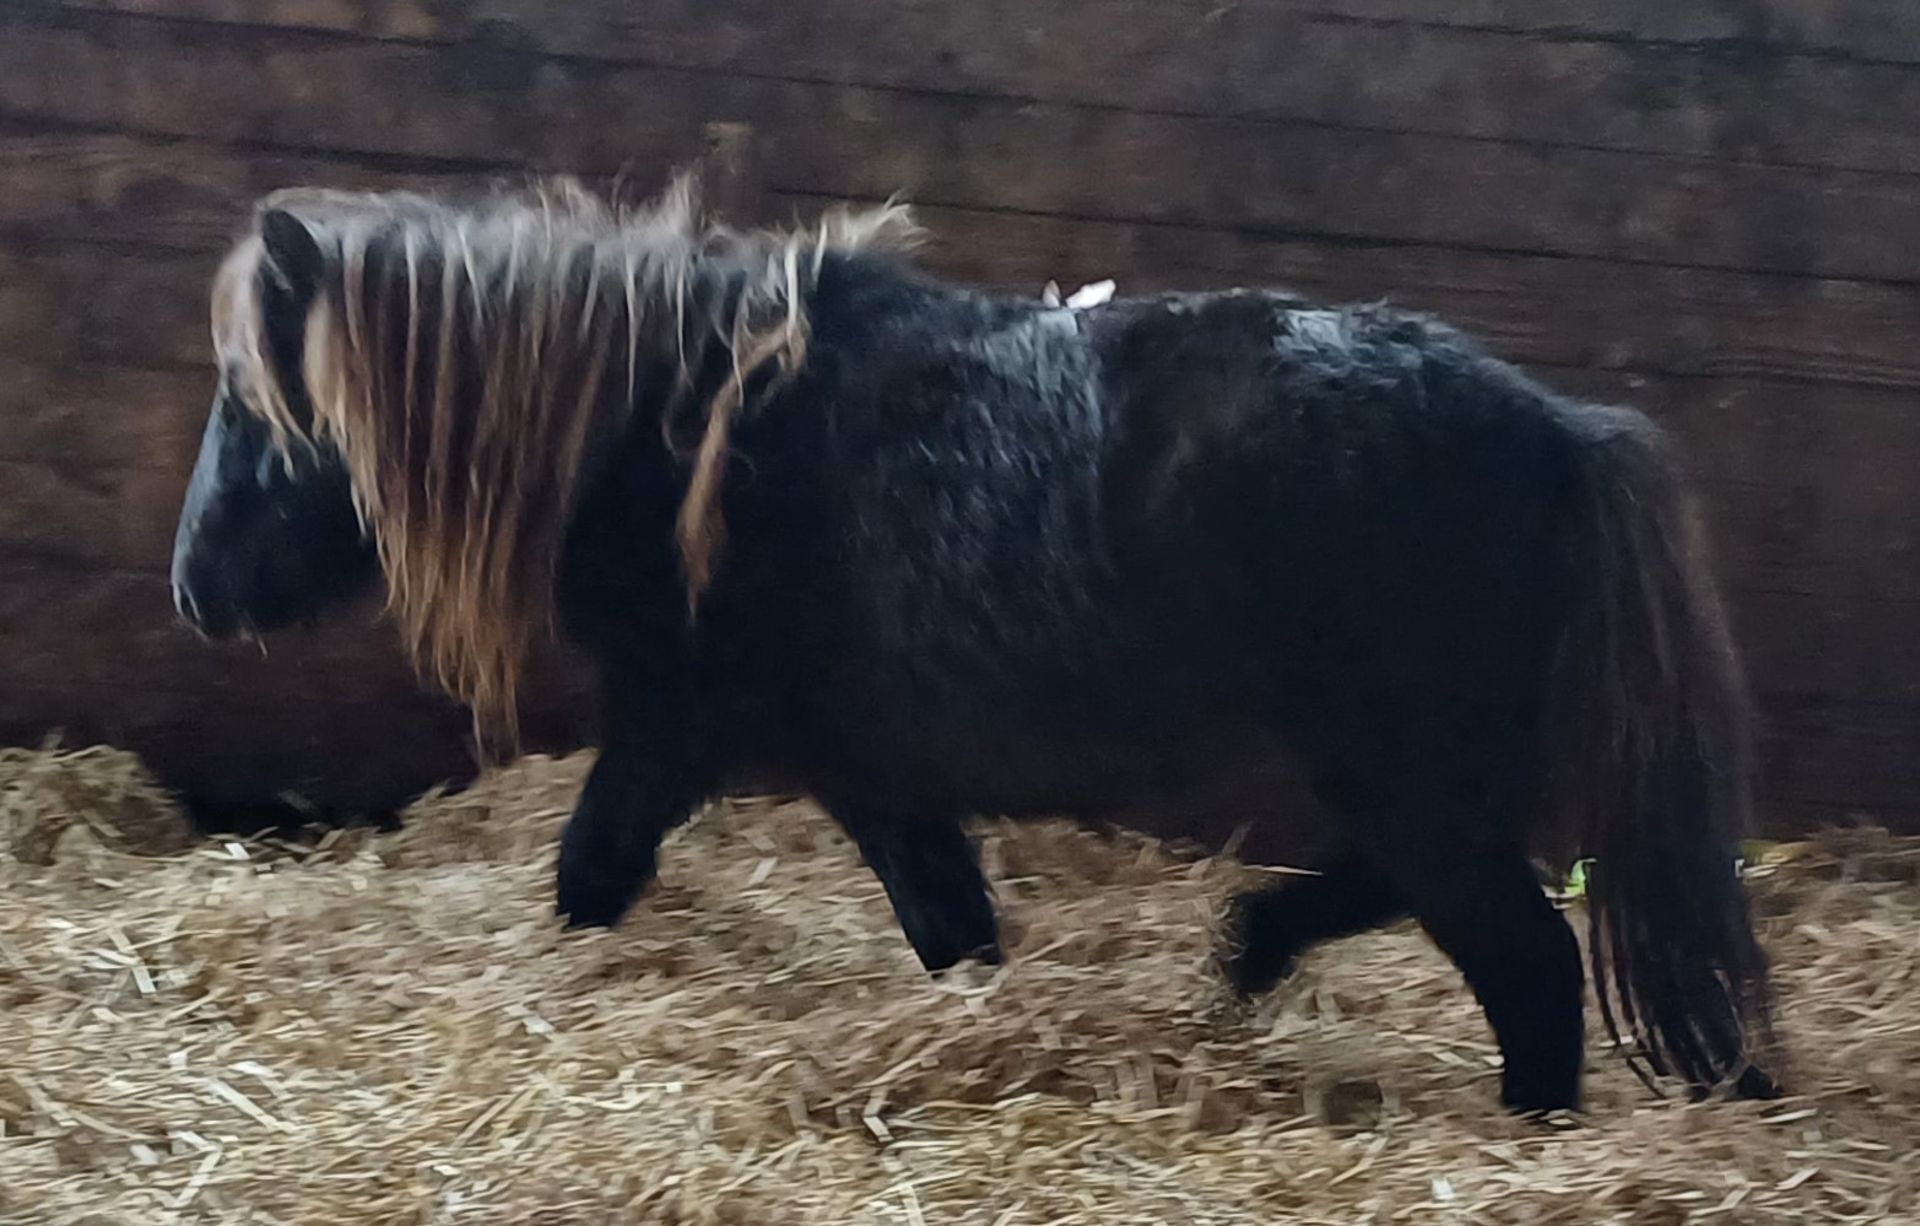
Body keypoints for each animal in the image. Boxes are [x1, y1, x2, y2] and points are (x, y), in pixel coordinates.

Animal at [172, 180, 1774, 1112]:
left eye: (263, 408)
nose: (193, 589)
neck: (684, 435)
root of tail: (1560, 432)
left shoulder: (677, 730)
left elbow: (590, 876)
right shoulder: (872, 771)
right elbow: (956, 933)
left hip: (1408, 769)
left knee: (1527, 955)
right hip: (1415, 773)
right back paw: (1251, 949)